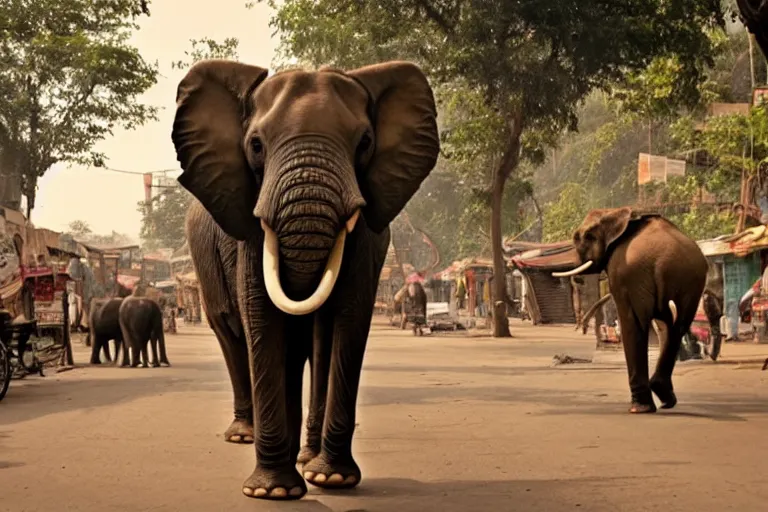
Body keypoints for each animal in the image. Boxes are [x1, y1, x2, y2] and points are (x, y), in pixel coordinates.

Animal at [172, 59, 440, 500]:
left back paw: (307, 460)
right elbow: (261, 315)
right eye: (256, 145)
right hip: (201, 253)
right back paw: (244, 435)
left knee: (311, 344)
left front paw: (332, 479)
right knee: (230, 329)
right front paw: (272, 492)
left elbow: (348, 319)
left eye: (364, 142)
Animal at [552, 207, 708, 412]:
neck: (621, 214)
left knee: (635, 323)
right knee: (677, 325)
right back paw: (665, 399)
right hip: (690, 281)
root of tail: (663, 260)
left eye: (581, 237)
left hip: (634, 274)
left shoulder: (619, 273)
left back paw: (640, 408)